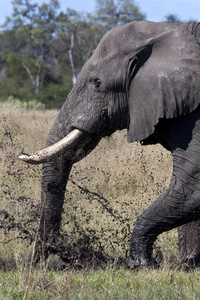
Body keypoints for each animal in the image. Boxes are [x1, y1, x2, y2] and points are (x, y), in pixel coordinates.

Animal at [19, 21, 200, 268]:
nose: (30, 258)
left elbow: (192, 186)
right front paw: (187, 264)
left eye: (96, 83)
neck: (166, 30)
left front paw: (141, 264)